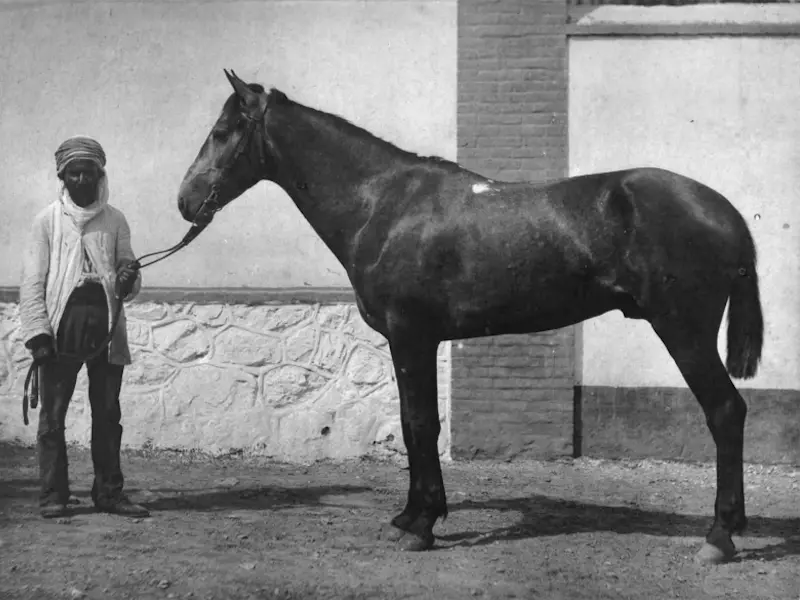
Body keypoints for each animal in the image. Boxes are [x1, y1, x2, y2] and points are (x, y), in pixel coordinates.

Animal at [176, 70, 764, 565]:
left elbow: (419, 423)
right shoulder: (416, 341)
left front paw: (420, 526)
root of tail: (724, 210)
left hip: (684, 333)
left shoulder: (411, 337)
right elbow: (415, 423)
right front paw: (413, 515)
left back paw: (719, 537)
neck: (382, 204)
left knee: (725, 412)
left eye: (224, 130)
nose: (186, 201)